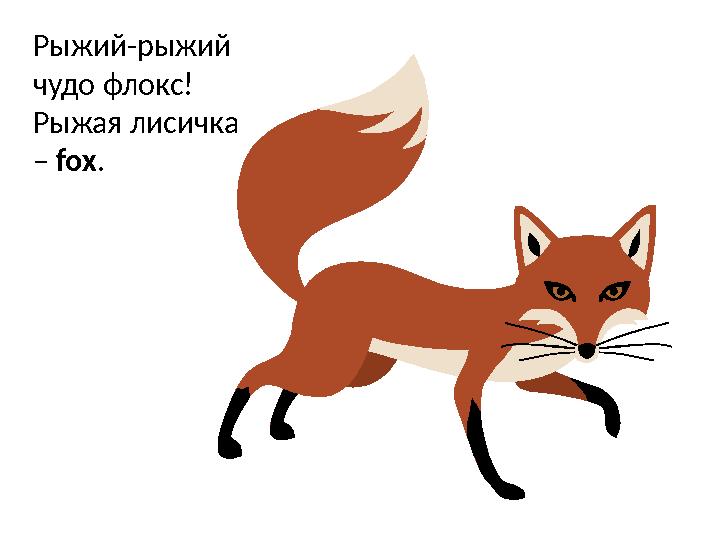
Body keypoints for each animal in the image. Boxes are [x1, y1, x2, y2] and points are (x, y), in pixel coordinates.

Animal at [218, 57, 668, 500]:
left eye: (614, 291)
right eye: (559, 290)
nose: (587, 349)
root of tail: (316, 279)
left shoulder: (530, 378)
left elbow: (597, 393)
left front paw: (613, 421)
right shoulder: (473, 379)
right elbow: (479, 442)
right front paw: (501, 488)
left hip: (354, 372)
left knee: (285, 383)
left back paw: (277, 427)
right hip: (333, 369)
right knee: (254, 374)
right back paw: (227, 444)